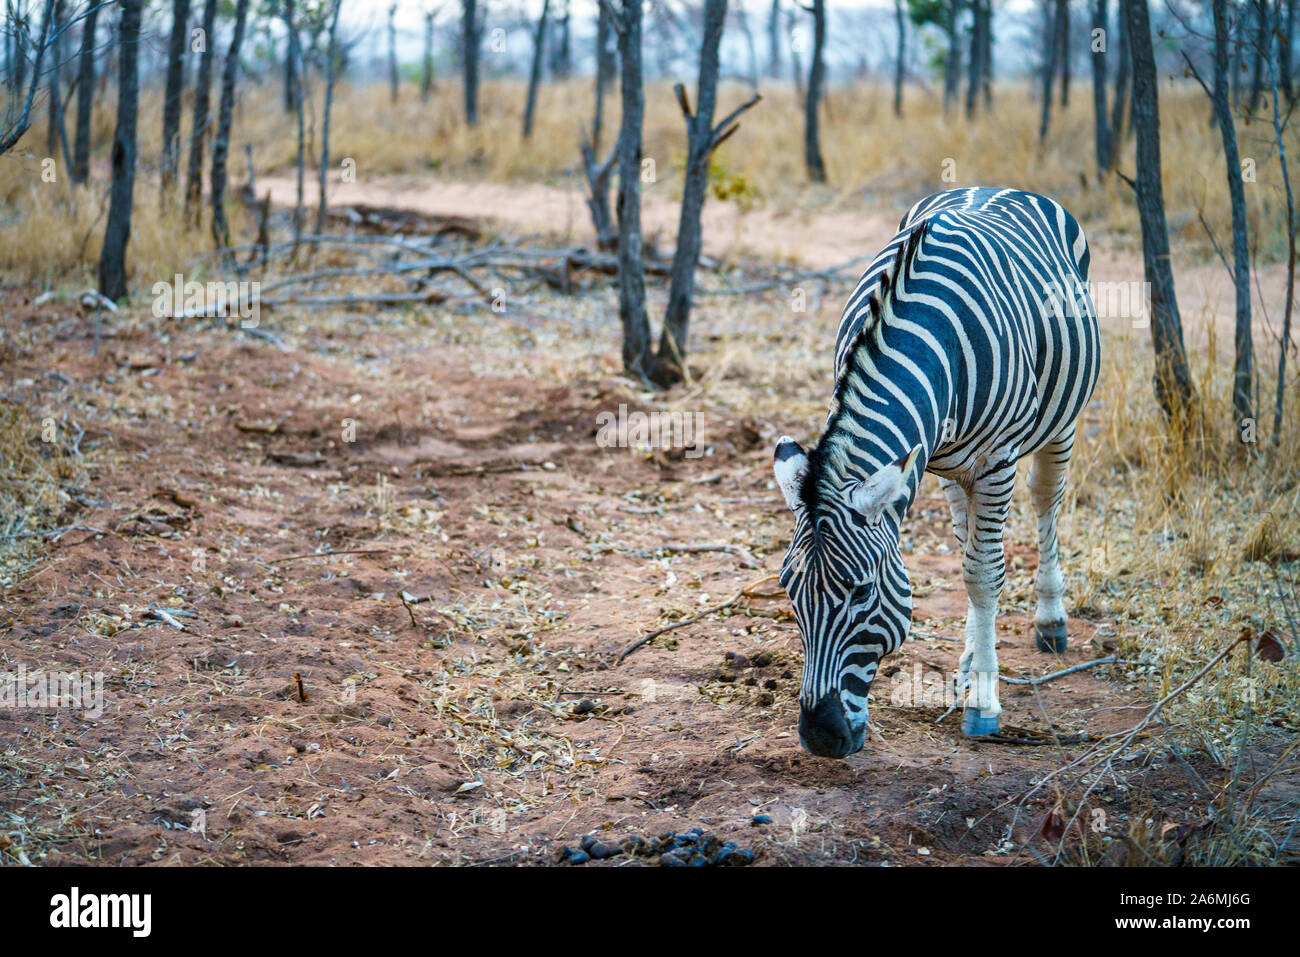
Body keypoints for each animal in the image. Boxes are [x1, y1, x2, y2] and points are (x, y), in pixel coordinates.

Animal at [774, 184, 1102, 754]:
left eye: (862, 592)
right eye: (789, 593)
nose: (820, 737)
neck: (923, 335)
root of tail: (998, 186)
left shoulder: (995, 460)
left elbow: (984, 574)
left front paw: (985, 705)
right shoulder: (924, 457)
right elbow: (971, 565)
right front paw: (975, 674)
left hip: (1059, 424)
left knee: (1045, 501)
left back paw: (1049, 621)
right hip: (950, 465)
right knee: (966, 535)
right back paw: (971, 660)